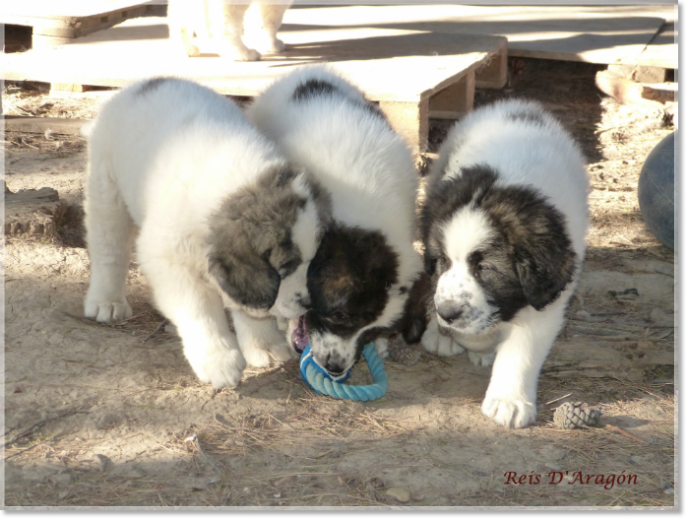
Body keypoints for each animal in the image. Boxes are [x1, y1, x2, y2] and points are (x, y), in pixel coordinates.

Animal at [420, 99, 584, 428]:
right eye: (443, 261)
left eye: (485, 269)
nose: (447, 314)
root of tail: (518, 104)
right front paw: (452, 335)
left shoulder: (545, 301)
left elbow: (521, 350)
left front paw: (509, 401)